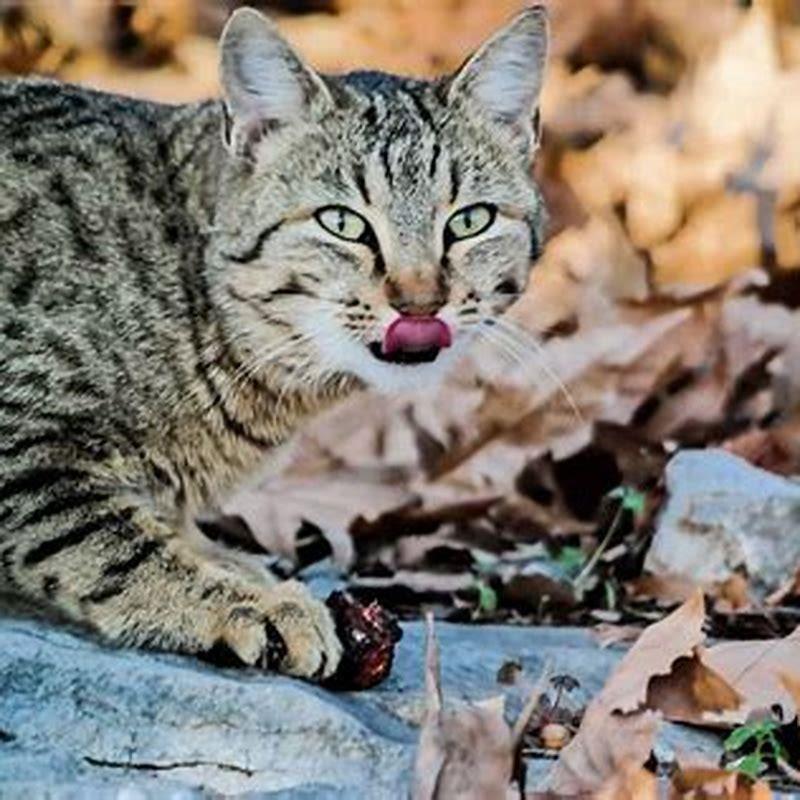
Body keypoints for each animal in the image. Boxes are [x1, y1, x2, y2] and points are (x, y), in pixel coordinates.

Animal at [0, 6, 548, 680]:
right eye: (342, 223)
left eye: (470, 220)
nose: (420, 304)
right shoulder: (26, 443)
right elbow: (108, 542)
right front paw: (243, 604)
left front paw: (236, 567)